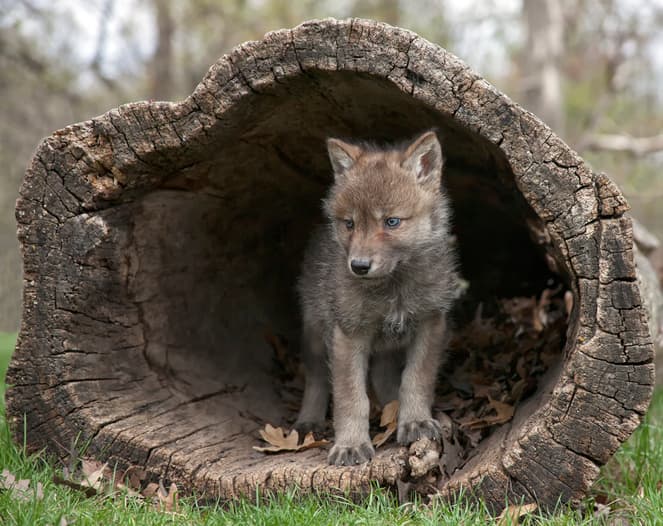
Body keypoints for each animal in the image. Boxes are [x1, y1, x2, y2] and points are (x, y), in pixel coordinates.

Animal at [295, 130, 458, 466]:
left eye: (392, 222)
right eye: (350, 224)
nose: (358, 266)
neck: (393, 289)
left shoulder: (431, 322)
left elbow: (415, 379)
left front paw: (415, 422)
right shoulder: (348, 334)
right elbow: (351, 397)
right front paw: (350, 445)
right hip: (315, 332)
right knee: (316, 378)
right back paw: (309, 421)